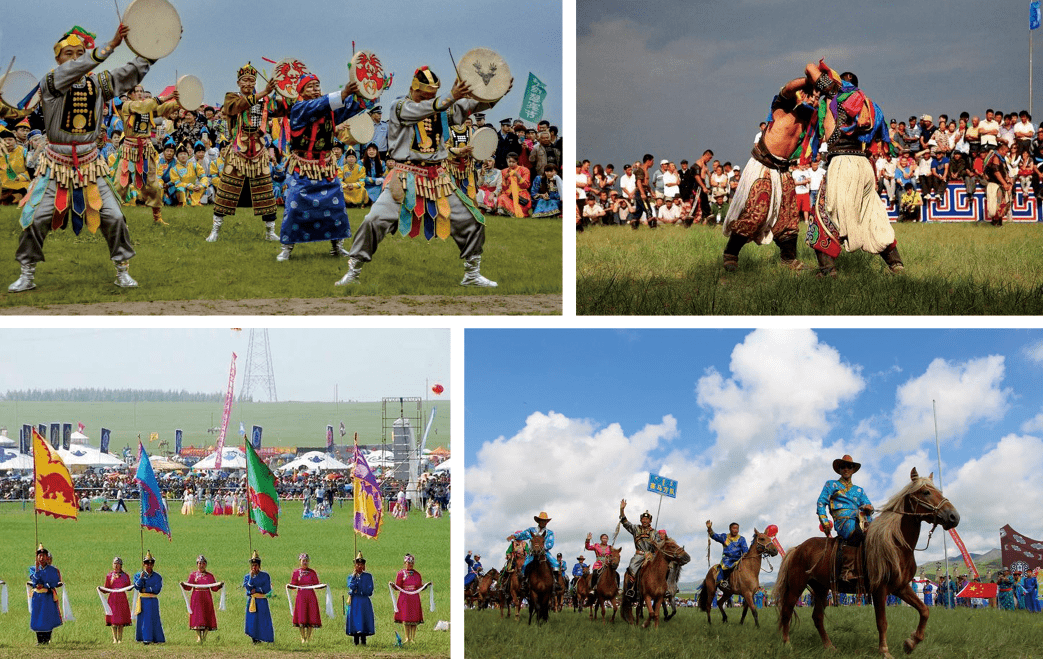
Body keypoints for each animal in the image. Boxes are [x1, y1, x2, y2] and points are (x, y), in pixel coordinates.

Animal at [775, 465, 959, 654]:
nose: (954, 517)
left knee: (817, 617)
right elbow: (882, 622)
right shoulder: (880, 589)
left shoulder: (901, 587)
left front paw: (911, 642)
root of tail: (798, 548)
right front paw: (884, 651)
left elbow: (924, 610)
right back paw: (787, 644)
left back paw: (829, 646)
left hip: (821, 588)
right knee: (787, 611)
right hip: (796, 586)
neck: (896, 544)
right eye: (925, 492)